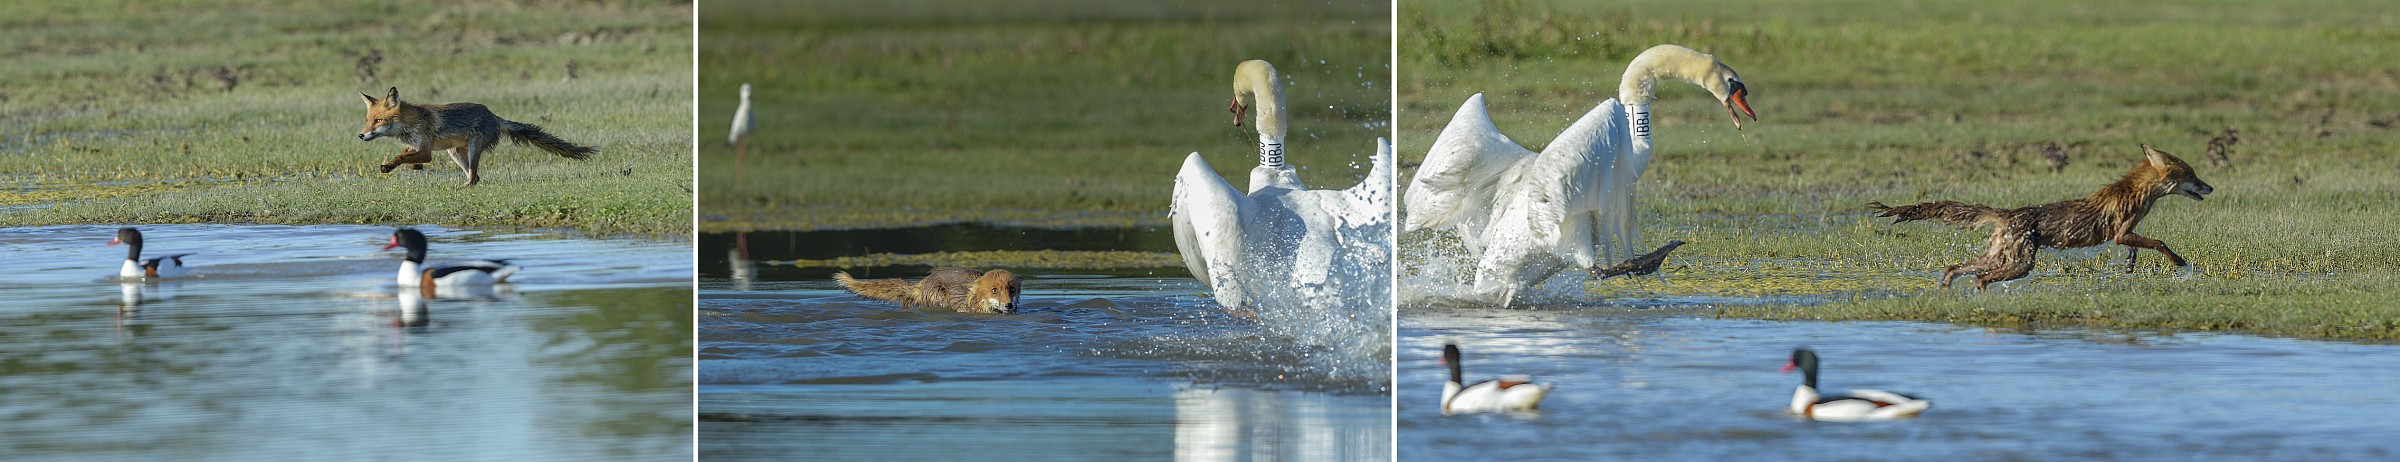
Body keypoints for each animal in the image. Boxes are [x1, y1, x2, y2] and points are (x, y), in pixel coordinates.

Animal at [357, 87, 597, 185]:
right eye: (368, 120)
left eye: (379, 121)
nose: (361, 135)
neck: (409, 124)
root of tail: (494, 115)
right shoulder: (416, 147)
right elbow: (404, 156)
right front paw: (393, 166)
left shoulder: (426, 151)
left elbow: (404, 157)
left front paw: (398, 165)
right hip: (455, 153)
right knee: (476, 177)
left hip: (472, 149)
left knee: (474, 177)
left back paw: (462, 188)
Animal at [1867, 144, 2214, 292]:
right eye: (2192, 176)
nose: (2211, 187)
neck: (2136, 193)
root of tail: (2007, 214)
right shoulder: (2120, 231)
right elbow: (2159, 243)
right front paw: (2180, 262)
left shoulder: (2125, 236)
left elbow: (2138, 249)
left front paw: (2130, 266)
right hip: (2022, 263)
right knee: (1981, 278)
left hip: (2001, 257)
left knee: (1957, 268)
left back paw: (1948, 291)